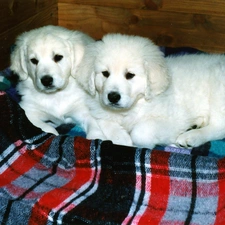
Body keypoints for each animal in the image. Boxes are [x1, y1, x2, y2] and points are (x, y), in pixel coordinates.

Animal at [76, 33, 225, 149]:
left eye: (130, 75)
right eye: (105, 73)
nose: (113, 97)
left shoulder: (173, 119)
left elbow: (140, 132)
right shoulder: (100, 112)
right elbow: (106, 123)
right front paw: (123, 140)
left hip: (218, 93)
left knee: (219, 127)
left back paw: (191, 137)